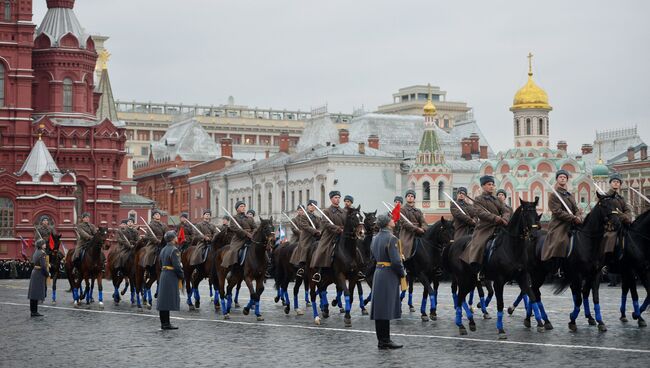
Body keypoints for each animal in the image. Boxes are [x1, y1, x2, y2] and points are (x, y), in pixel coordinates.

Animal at [448, 200, 540, 338]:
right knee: (459, 298)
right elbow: (500, 304)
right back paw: (461, 324)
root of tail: (454, 244)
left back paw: (470, 322)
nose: (534, 235)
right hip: (464, 279)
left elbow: (532, 297)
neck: (512, 248)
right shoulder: (498, 281)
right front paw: (501, 329)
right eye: (525, 215)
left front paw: (540, 322)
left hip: (471, 280)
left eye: (536, 214)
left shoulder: (522, 277)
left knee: (461, 296)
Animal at [552, 191, 616, 332]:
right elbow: (580, 299)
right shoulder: (578, 275)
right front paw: (572, 320)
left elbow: (593, 296)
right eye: (604, 205)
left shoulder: (594, 274)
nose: (617, 222)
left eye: (616, 204)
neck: (589, 242)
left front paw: (599, 321)